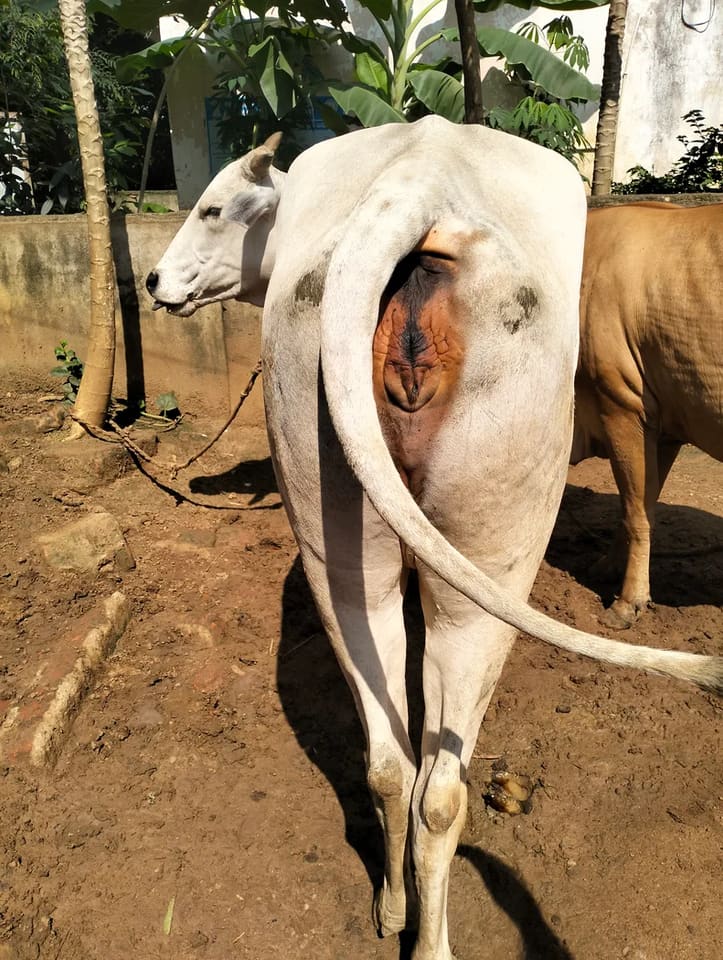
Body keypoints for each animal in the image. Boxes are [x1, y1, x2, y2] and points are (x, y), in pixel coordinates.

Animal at [571, 202, 723, 629]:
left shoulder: (620, 399)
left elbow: (635, 508)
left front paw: (627, 603)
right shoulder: (668, 421)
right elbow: (642, 502)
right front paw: (606, 567)